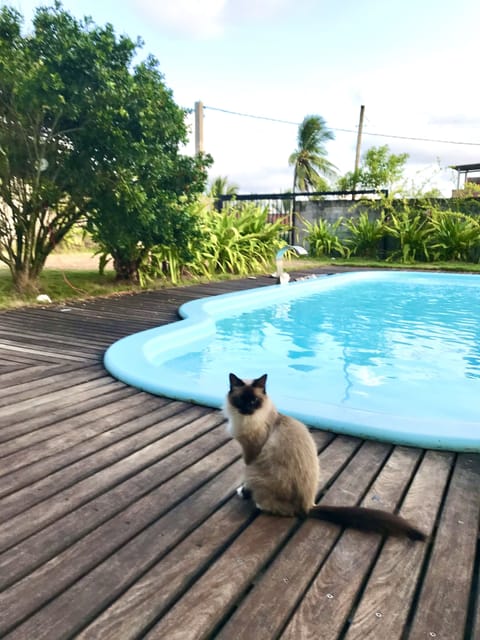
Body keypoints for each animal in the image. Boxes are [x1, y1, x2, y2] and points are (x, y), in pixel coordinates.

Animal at [223, 370, 426, 540]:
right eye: (241, 400)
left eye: (254, 401)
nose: (247, 410)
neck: (247, 420)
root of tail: (309, 506)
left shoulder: (250, 454)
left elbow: (246, 480)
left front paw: (243, 492)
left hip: (255, 472)